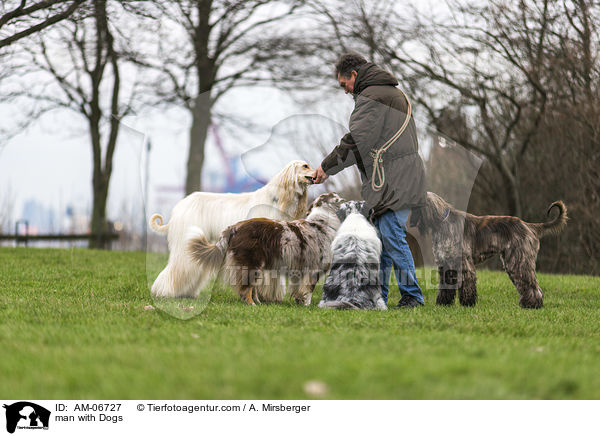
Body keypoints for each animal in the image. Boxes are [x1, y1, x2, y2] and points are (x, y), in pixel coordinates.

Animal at [188, 192, 346, 304]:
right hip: (251, 262)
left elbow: (298, 290)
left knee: (252, 287)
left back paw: (258, 303)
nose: (345, 200)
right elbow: (309, 290)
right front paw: (306, 305)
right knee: (246, 287)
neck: (322, 223)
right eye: (337, 198)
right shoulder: (313, 269)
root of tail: (234, 227)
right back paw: (251, 304)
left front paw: (299, 302)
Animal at [410, 192, 568, 308]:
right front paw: (443, 303)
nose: (409, 221)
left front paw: (467, 304)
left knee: (532, 285)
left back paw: (532, 305)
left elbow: (467, 283)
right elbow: (445, 286)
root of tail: (529, 226)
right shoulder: (446, 264)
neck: (442, 223)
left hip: (518, 261)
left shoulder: (464, 263)